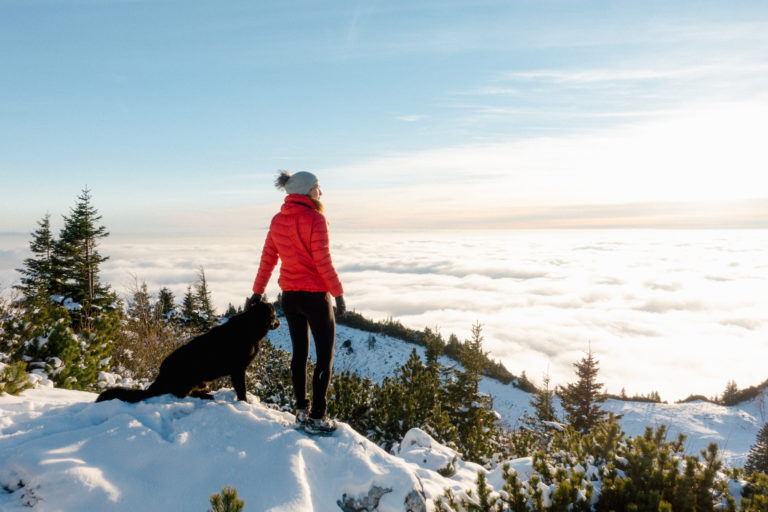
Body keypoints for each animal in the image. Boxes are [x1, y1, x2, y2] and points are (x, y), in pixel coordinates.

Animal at [96, 300, 280, 404]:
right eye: (274, 315)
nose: (278, 323)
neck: (250, 327)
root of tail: (160, 379)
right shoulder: (238, 370)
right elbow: (241, 390)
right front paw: (245, 403)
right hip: (192, 375)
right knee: (181, 394)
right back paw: (203, 396)